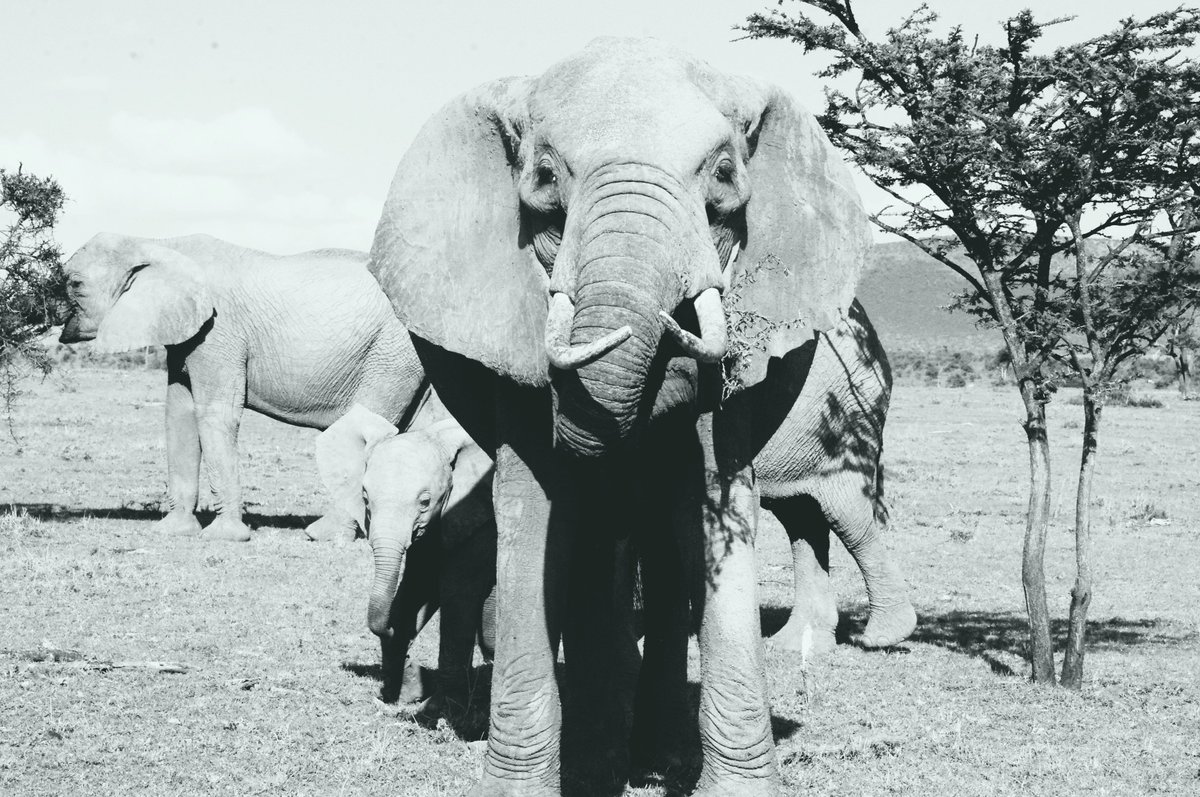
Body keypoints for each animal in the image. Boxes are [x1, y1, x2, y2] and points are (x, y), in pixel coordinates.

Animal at [58, 232, 431, 542]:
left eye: (75, 284)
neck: (159, 243)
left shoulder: (218, 332)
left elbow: (215, 414)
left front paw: (224, 538)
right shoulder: (186, 337)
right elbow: (178, 414)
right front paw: (173, 531)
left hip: (392, 351)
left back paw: (322, 534)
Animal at [315, 405, 496, 729]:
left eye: (425, 501)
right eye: (365, 498)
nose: (412, 664)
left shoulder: (480, 516)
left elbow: (457, 591)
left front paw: (439, 709)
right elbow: (417, 585)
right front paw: (402, 691)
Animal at [369, 38, 874, 796]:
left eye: (724, 175)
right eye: (546, 178)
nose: (661, 321)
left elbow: (715, 499)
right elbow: (537, 508)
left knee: (663, 560)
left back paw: (650, 753)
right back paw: (606, 757)